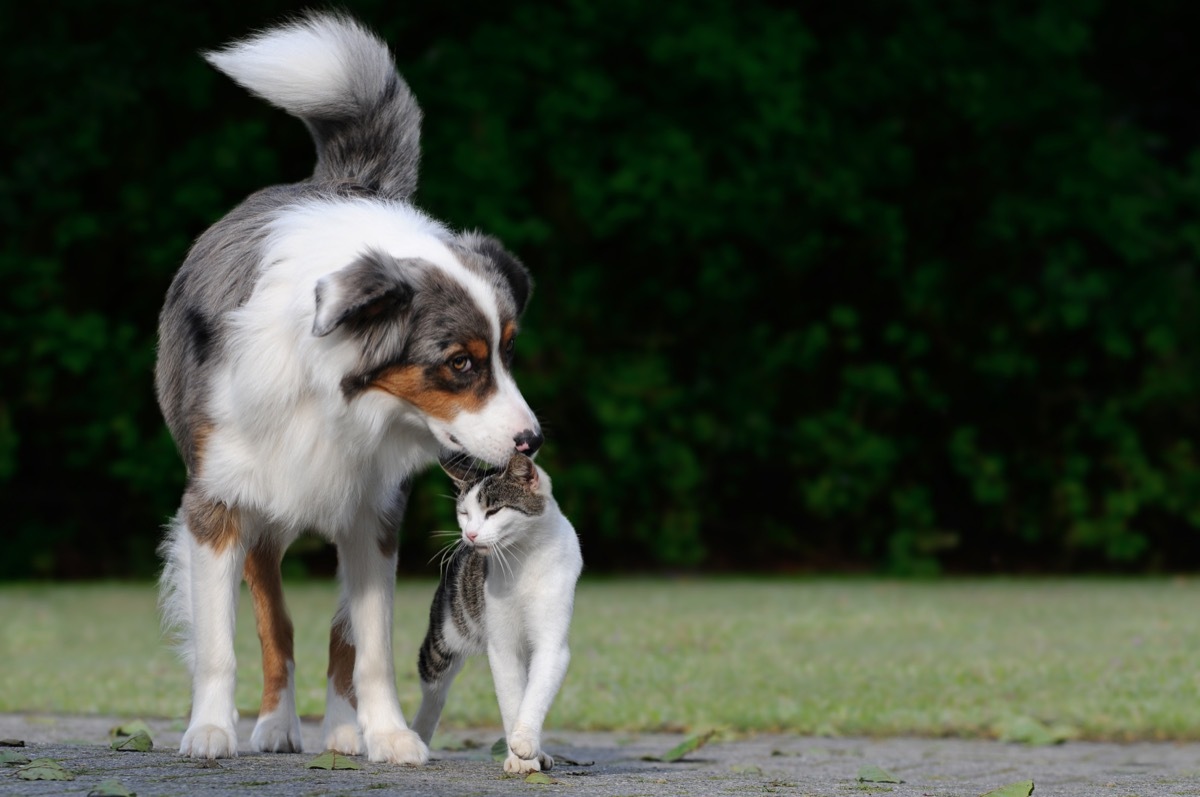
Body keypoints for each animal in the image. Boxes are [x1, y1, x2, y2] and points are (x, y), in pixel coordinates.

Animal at [156, 9, 544, 763]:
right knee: (274, 621)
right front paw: (210, 729)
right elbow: (224, 640)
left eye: (508, 351)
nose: (532, 439)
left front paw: (387, 732)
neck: (337, 398)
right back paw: (277, 724)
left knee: (342, 635)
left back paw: (340, 726)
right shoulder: (218, 501)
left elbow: (370, 645)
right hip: (266, 515)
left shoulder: (374, 513)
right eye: (460, 363)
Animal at [412, 453, 580, 772]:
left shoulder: (552, 641)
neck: (524, 556)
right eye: (464, 512)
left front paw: (526, 742)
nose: (469, 534)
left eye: (493, 510)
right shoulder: (502, 644)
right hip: (444, 635)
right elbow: (512, 697)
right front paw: (520, 760)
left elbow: (535, 693)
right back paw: (413, 738)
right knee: (434, 691)